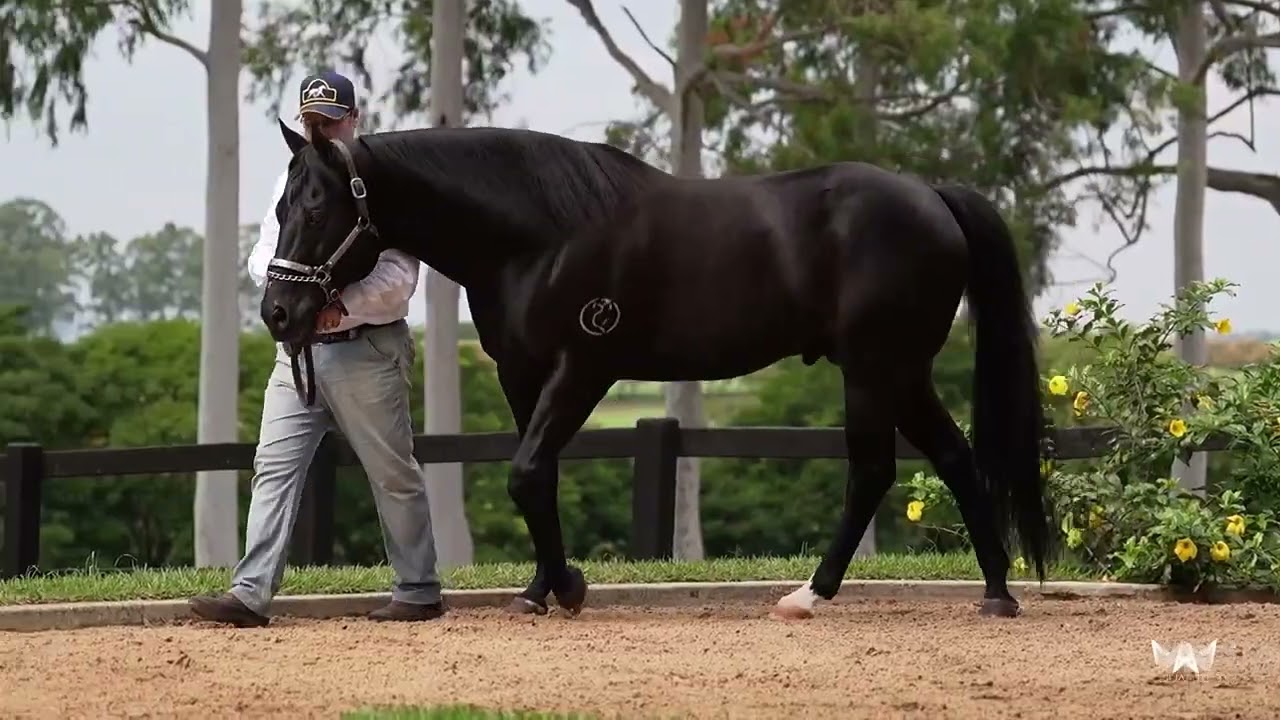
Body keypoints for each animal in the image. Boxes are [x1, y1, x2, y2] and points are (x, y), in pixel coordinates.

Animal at [261, 119, 1056, 620]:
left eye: (319, 207)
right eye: (279, 207)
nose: (277, 312)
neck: (542, 233)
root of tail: (934, 198)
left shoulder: (584, 367)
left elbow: (525, 472)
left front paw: (567, 588)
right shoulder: (523, 374)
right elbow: (536, 476)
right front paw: (543, 587)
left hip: (875, 368)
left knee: (875, 471)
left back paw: (814, 594)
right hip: (897, 372)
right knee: (951, 457)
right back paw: (995, 592)